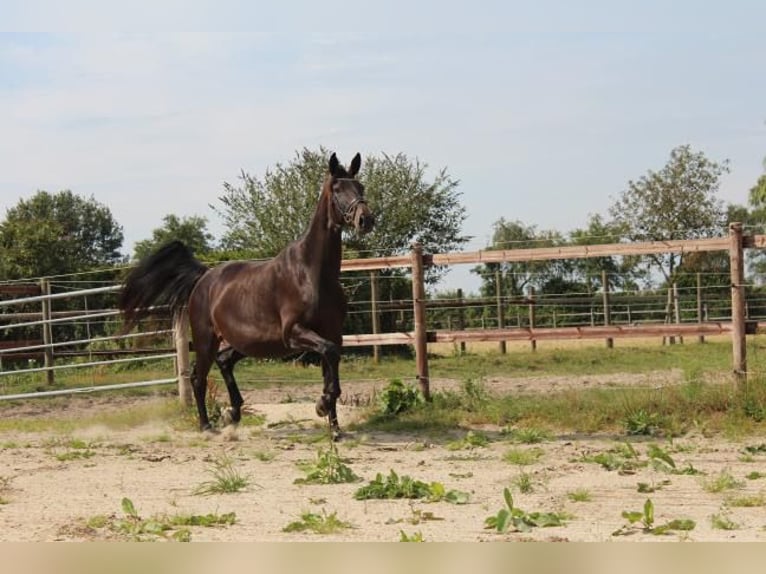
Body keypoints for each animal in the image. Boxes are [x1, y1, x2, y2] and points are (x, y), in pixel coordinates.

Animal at [118, 153, 376, 436]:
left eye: (361, 187)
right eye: (338, 189)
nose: (366, 220)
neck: (312, 274)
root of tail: (204, 276)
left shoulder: (332, 333)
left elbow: (331, 369)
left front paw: (335, 428)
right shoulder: (294, 332)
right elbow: (329, 359)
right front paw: (321, 405)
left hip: (248, 342)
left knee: (224, 361)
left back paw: (233, 413)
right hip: (207, 339)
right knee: (199, 377)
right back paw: (207, 425)